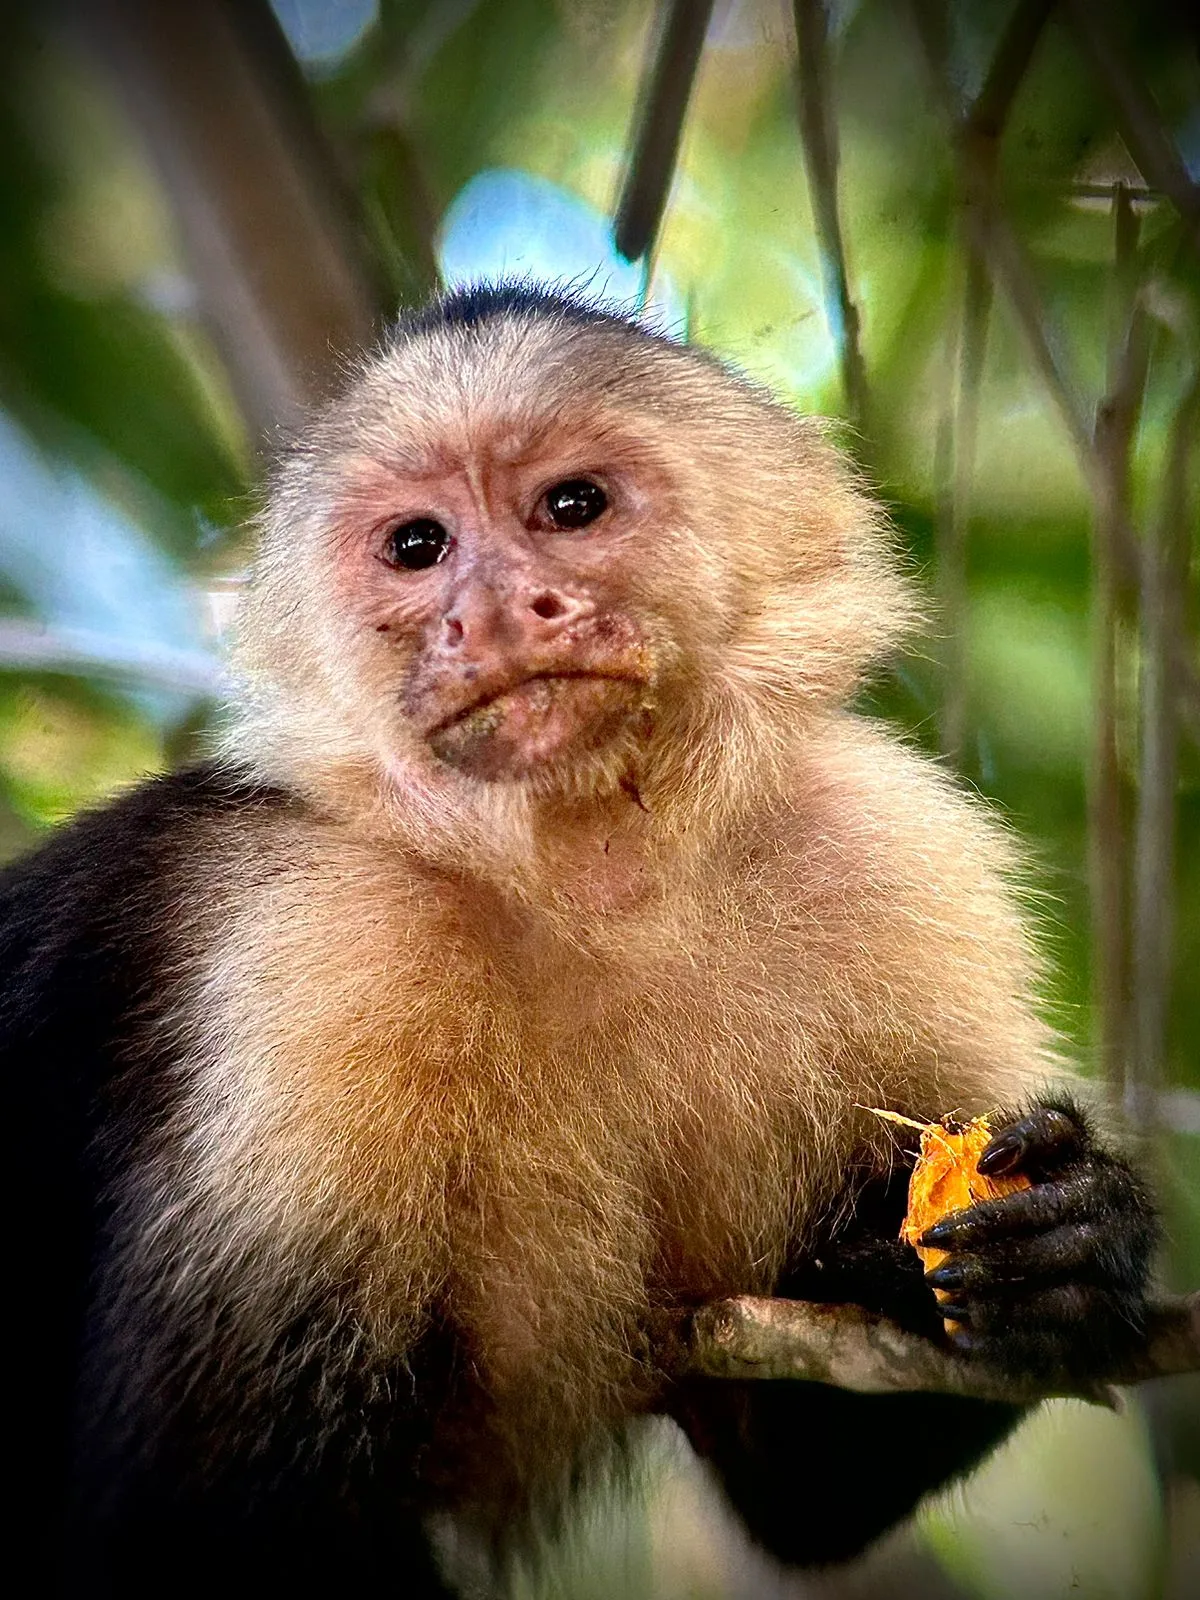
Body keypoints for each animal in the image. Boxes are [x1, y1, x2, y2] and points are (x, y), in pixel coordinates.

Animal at [4, 283, 1157, 1598]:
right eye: (418, 546)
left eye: (571, 507)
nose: (500, 608)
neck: (591, 878)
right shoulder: (311, 952)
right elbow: (187, 1516)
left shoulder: (892, 857)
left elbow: (804, 1491)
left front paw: (1076, 1242)